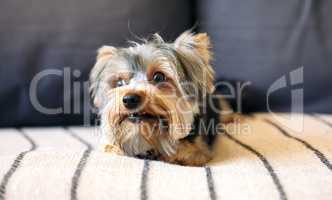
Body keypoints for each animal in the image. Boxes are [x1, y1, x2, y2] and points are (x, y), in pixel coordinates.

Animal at [89, 31, 233, 166]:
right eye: (119, 83)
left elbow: (185, 153)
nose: (129, 99)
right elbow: (110, 147)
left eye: (158, 76)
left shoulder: (200, 151)